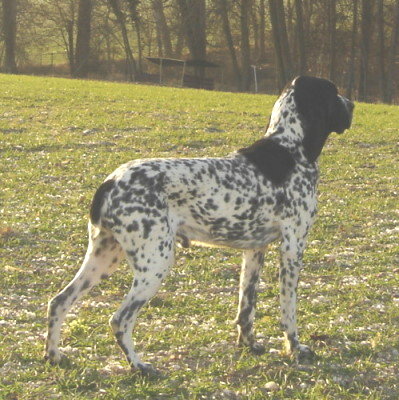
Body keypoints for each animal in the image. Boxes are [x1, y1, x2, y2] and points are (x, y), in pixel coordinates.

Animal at [45, 76, 354, 376]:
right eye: (334, 92)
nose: (352, 104)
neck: (290, 148)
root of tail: (110, 182)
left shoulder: (255, 251)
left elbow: (246, 308)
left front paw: (249, 345)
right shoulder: (292, 247)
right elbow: (288, 310)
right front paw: (295, 348)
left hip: (104, 257)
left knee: (59, 301)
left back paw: (54, 356)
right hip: (155, 263)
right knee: (119, 319)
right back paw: (139, 366)